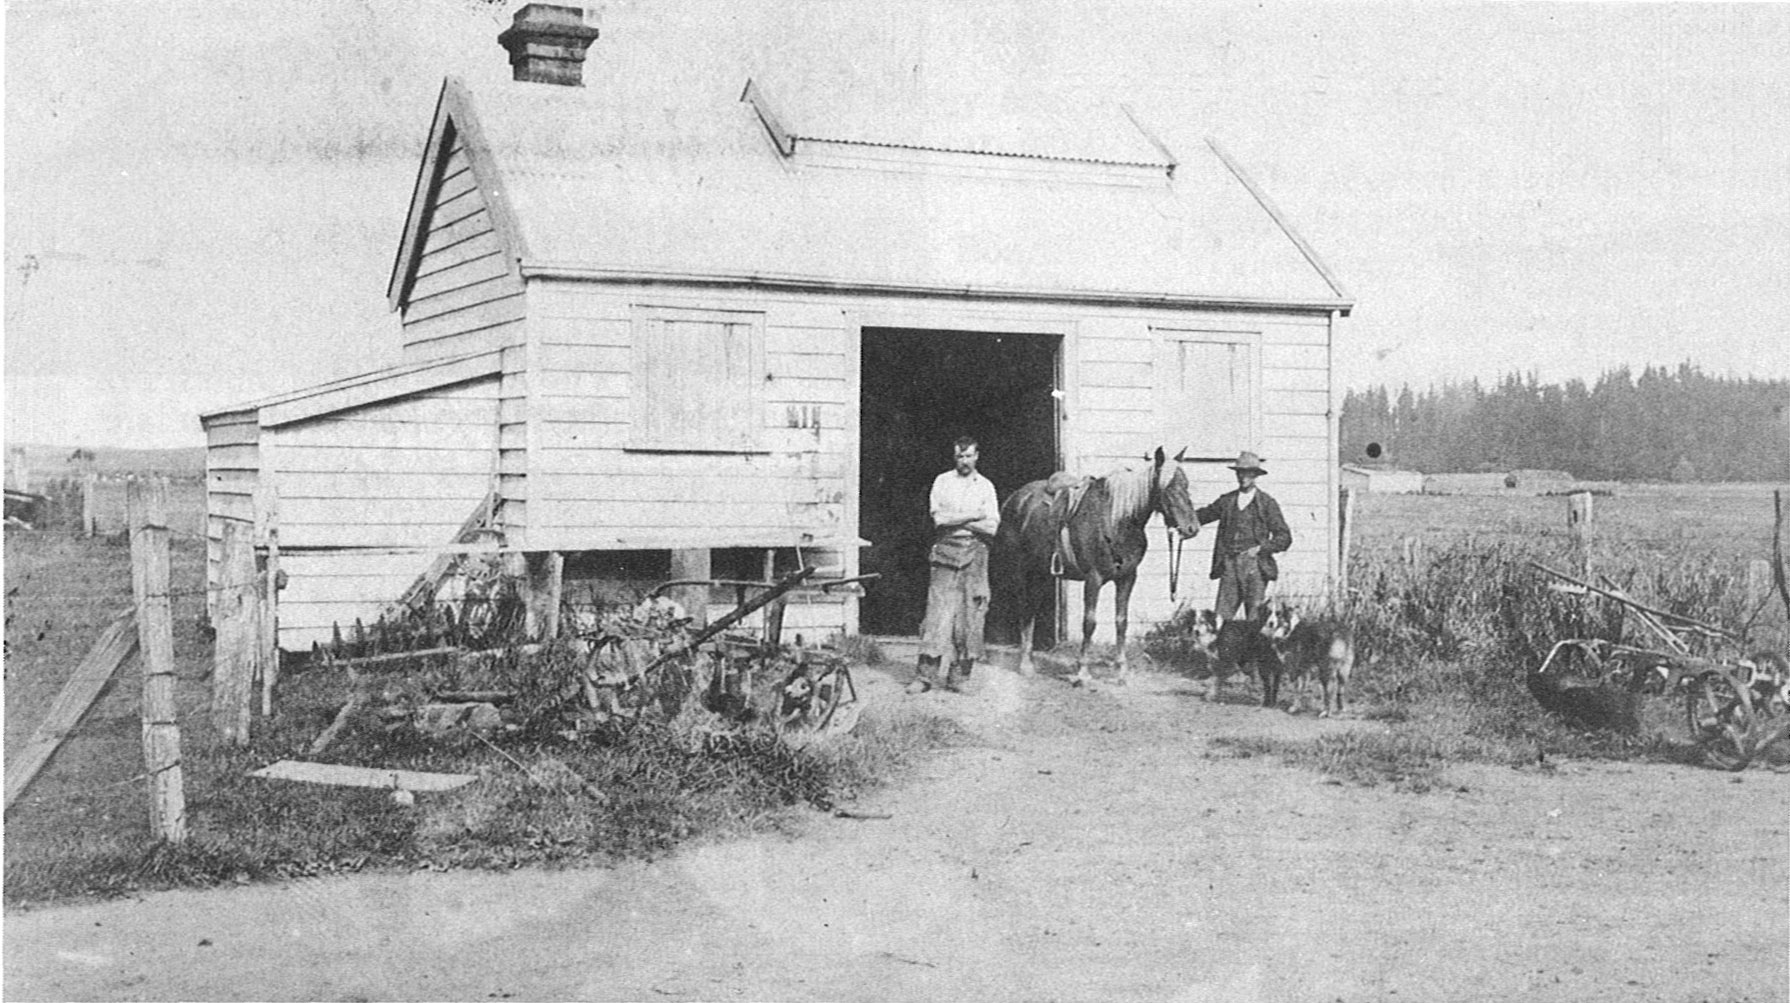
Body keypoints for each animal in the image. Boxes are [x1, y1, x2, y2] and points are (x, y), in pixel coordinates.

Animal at [1002, 451, 1195, 684]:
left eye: (1186, 485)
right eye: (1168, 488)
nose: (1192, 528)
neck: (1115, 522)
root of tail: (1015, 499)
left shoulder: (1127, 578)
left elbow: (1121, 621)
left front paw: (1121, 672)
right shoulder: (1093, 579)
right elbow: (1089, 623)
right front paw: (1083, 672)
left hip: (1040, 573)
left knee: (1031, 610)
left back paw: (1029, 662)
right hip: (1020, 570)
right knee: (1023, 609)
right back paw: (1024, 665)